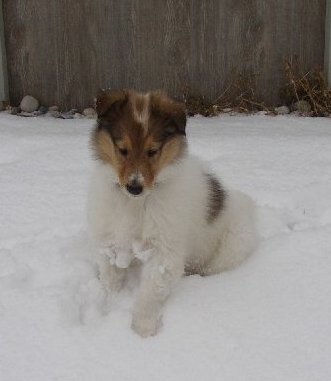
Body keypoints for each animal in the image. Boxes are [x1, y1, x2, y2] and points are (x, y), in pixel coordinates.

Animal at [87, 89, 258, 336]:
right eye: (122, 150)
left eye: (152, 151)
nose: (135, 187)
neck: (136, 202)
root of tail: (246, 204)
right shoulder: (109, 238)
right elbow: (111, 275)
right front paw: (110, 301)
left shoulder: (164, 249)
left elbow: (151, 289)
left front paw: (142, 327)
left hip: (232, 247)